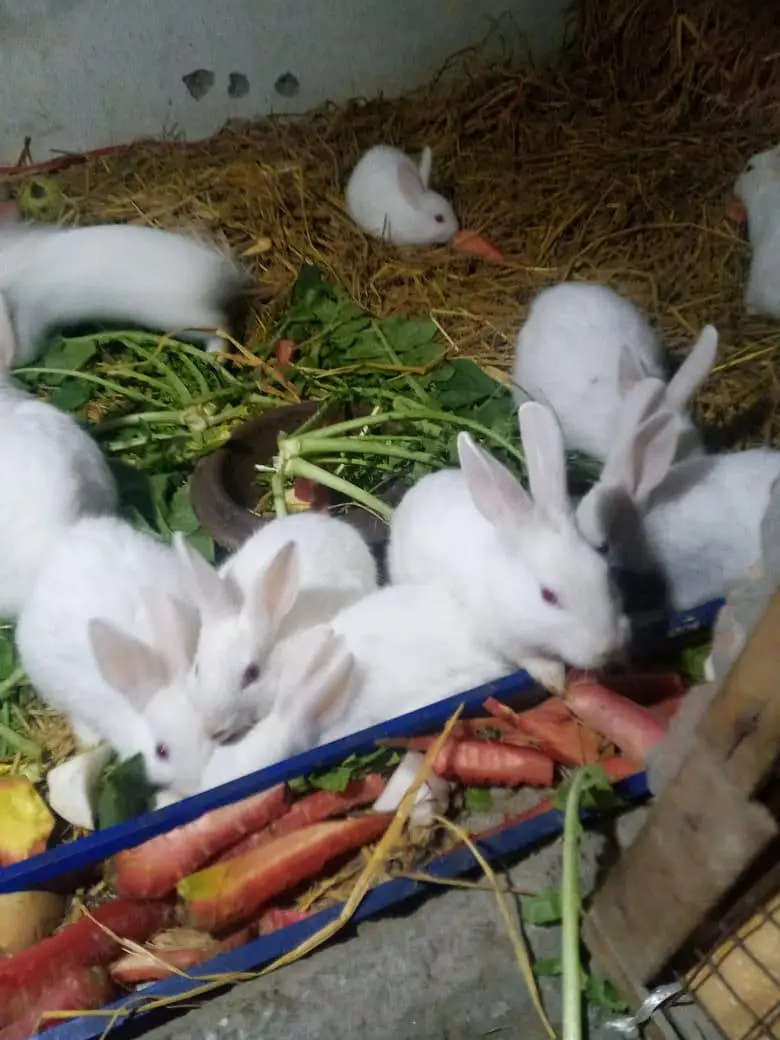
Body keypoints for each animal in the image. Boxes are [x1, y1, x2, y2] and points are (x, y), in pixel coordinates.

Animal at [388, 402, 629, 694]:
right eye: (548, 596)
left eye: (606, 575)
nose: (608, 646)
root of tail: (421, 485)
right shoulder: (502, 640)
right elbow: (530, 658)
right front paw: (555, 680)